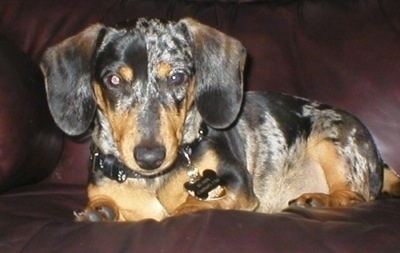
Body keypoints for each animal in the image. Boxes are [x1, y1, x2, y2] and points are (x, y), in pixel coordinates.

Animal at [40, 17, 400, 221]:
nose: (150, 156)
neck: (155, 180)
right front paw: (101, 212)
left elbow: (186, 208)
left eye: (177, 77)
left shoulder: (236, 185)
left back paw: (317, 200)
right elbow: (112, 203)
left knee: (354, 195)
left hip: (332, 141)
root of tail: (380, 160)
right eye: (114, 80)